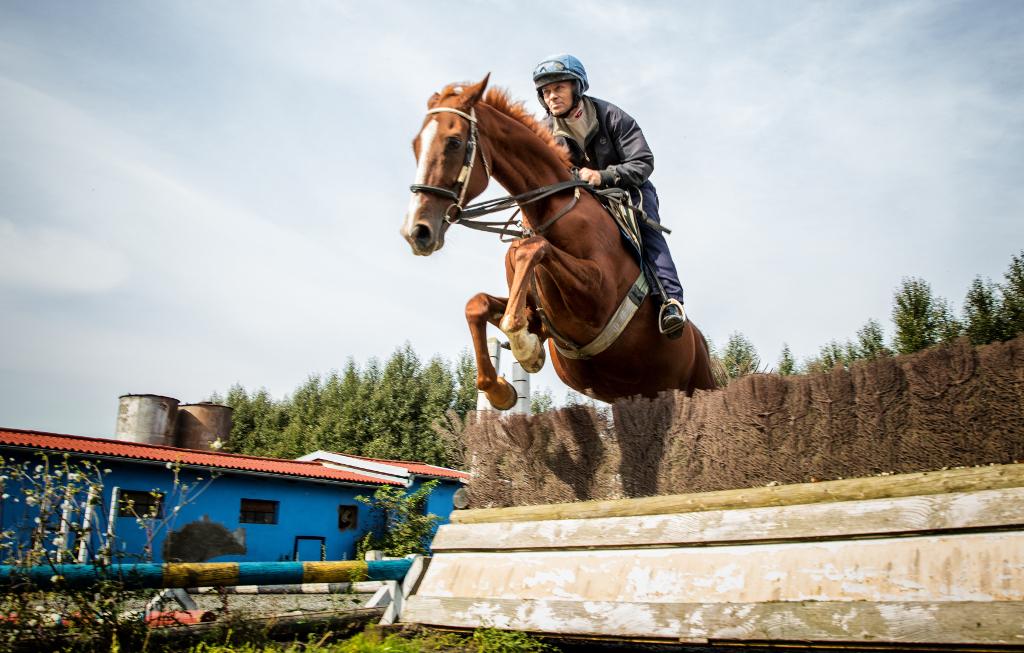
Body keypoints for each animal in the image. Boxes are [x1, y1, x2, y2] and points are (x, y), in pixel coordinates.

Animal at [395, 76, 716, 409]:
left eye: (454, 142)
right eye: (415, 144)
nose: (417, 231)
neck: (550, 208)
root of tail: (701, 343)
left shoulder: (596, 296)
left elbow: (535, 249)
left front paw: (525, 348)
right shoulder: (538, 313)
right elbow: (477, 304)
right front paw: (500, 389)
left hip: (702, 385)